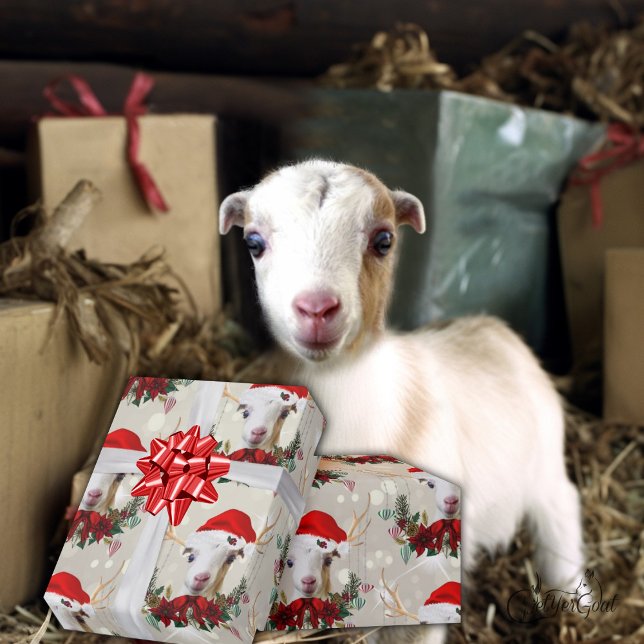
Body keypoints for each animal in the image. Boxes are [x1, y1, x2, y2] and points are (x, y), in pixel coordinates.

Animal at [220, 160, 587, 643]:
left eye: (384, 240)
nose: (316, 309)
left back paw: (575, 596)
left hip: (544, 461)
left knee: (561, 510)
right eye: (253, 243)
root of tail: (492, 327)